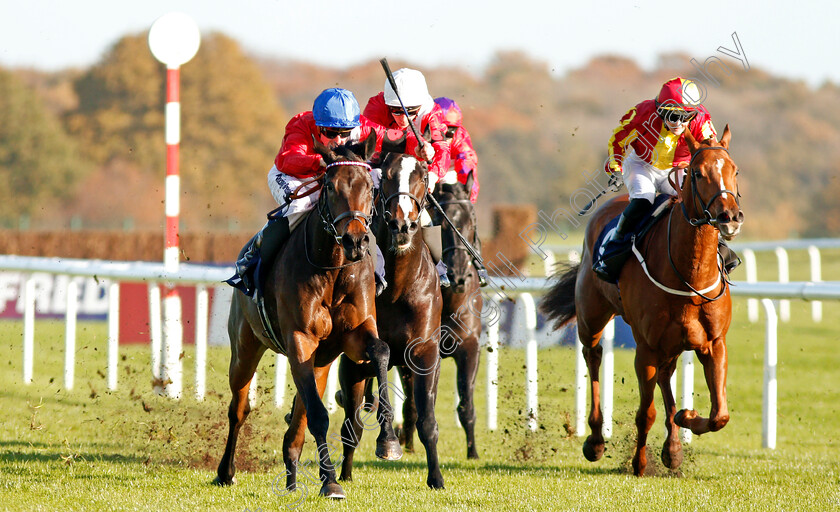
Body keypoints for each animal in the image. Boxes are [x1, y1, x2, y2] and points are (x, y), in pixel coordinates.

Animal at [217, 133, 400, 500]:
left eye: (369, 186)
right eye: (329, 185)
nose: (355, 240)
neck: (333, 268)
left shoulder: (355, 333)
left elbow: (381, 351)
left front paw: (388, 440)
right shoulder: (300, 339)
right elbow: (318, 416)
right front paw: (330, 482)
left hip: (320, 362)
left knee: (297, 424)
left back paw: (291, 477)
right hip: (245, 347)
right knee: (239, 409)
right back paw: (226, 472)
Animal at [336, 151, 446, 488]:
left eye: (423, 176)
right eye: (385, 175)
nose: (402, 225)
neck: (398, 286)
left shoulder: (425, 352)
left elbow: (427, 420)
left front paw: (436, 478)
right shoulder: (355, 357)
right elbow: (352, 424)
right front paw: (385, 444)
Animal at [540, 125, 740, 476]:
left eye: (734, 170)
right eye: (698, 173)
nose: (729, 216)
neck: (689, 276)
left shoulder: (713, 343)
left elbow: (720, 415)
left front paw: (685, 417)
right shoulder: (645, 346)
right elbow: (645, 412)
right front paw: (639, 462)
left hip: (672, 343)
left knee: (665, 375)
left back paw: (673, 447)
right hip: (592, 316)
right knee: (593, 356)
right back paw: (595, 440)